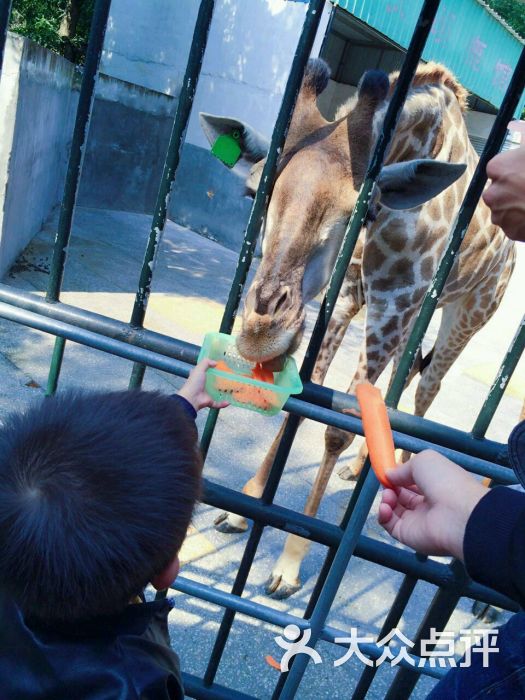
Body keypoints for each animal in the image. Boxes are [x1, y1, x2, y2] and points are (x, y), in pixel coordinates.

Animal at [201, 60, 516, 600]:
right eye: (254, 190)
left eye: (363, 210)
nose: (262, 332)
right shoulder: (348, 296)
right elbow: (306, 398)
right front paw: (245, 507)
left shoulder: (396, 303)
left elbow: (336, 430)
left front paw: (288, 566)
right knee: (406, 379)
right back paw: (362, 467)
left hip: (467, 314)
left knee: (427, 389)